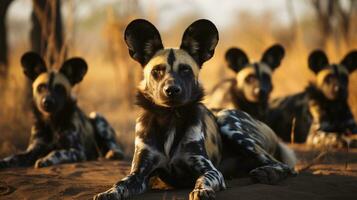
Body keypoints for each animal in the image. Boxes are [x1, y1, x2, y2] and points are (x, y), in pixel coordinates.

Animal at [93, 18, 294, 200]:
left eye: (185, 70)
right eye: (157, 71)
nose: (171, 90)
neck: (170, 118)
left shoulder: (210, 170)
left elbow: (203, 179)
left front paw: (201, 190)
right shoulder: (139, 174)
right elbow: (120, 184)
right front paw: (109, 193)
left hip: (228, 121)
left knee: (285, 166)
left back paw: (267, 173)